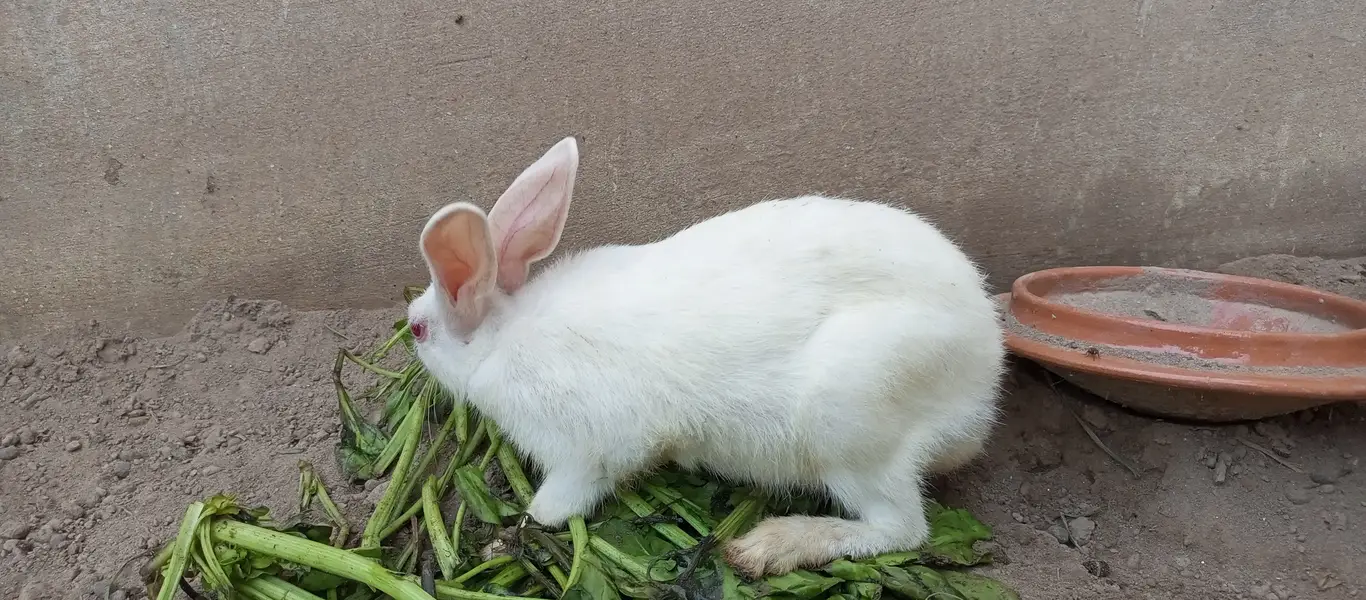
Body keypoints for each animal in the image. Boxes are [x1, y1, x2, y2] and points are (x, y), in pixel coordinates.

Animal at [408, 136, 1006, 578]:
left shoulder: (588, 452)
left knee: (900, 527)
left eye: (419, 329)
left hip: (851, 425)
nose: (408, 330)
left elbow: (562, 500)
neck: (502, 337)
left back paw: (769, 546)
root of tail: (982, 391)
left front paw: (520, 526)